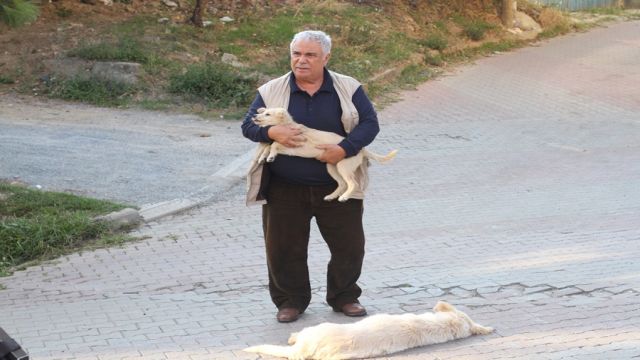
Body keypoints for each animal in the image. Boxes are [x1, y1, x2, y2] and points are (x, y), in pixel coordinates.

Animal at [252, 107, 398, 202]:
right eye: (263, 112)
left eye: (267, 114)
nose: (253, 116)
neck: (288, 125)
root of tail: (362, 149)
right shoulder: (287, 148)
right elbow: (270, 146)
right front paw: (264, 157)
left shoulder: (294, 144)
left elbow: (273, 145)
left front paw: (270, 156)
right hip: (332, 167)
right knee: (342, 184)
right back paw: (332, 196)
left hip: (343, 167)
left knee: (353, 183)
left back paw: (344, 197)